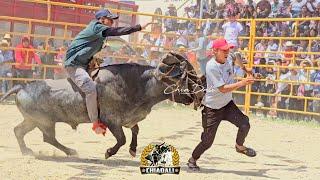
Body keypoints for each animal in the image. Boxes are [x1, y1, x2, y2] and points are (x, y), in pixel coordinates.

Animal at [0, 52, 205, 159]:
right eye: (179, 76)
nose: (197, 94)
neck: (134, 84)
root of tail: (22, 86)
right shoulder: (111, 121)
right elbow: (121, 139)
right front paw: (109, 152)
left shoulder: (128, 119)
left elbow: (135, 130)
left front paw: (133, 149)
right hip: (45, 122)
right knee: (48, 138)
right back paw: (70, 151)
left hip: (32, 121)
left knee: (19, 131)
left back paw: (26, 151)